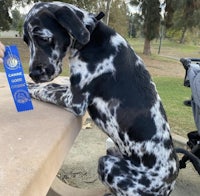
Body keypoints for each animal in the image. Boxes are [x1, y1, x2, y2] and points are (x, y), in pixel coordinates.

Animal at [23, 1, 200, 196]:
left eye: (42, 38)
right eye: (26, 40)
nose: (33, 74)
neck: (91, 36)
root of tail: (170, 182)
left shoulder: (76, 100)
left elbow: (45, 90)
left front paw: (28, 88)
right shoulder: (71, 91)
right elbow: (52, 86)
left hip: (107, 164)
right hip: (111, 151)